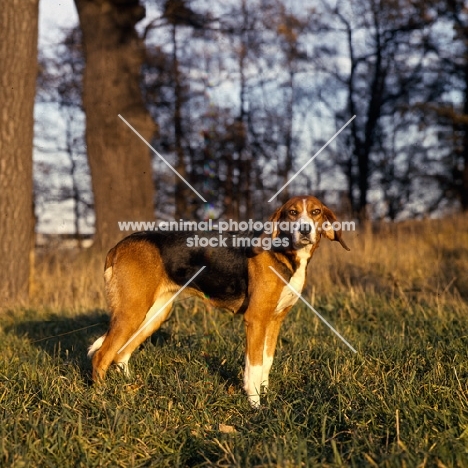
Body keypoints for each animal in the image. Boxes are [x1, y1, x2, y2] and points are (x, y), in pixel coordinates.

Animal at [89, 196, 350, 408]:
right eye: (292, 213)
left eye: (316, 212)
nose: (305, 229)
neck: (284, 253)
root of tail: (118, 247)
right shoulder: (256, 320)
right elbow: (254, 366)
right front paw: (255, 405)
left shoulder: (275, 321)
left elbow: (266, 362)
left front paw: (266, 394)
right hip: (132, 313)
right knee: (102, 356)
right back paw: (102, 398)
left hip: (153, 315)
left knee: (121, 354)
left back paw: (131, 386)